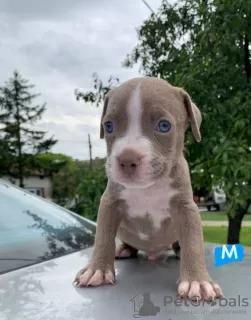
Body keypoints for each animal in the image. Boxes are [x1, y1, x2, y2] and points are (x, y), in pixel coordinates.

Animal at [74, 77, 224, 300]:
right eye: (109, 126)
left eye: (163, 125)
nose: (127, 159)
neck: (148, 188)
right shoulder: (110, 203)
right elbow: (103, 236)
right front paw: (97, 269)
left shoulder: (187, 208)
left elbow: (193, 241)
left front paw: (197, 281)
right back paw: (123, 249)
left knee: (181, 244)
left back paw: (178, 250)